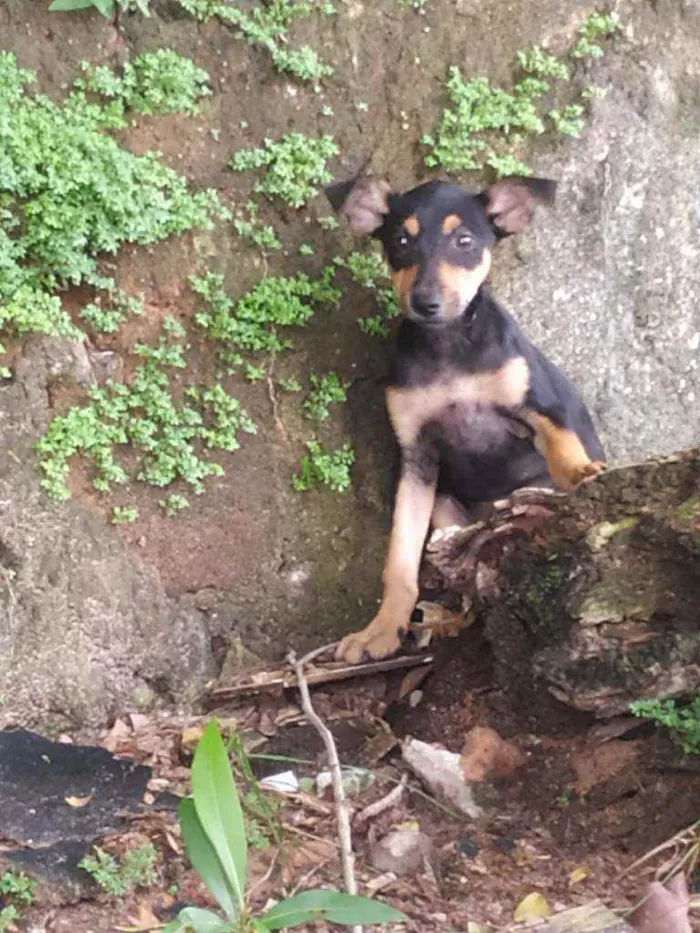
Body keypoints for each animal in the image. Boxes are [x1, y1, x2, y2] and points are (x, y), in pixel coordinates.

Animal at [326, 173, 604, 664]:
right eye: (400, 241)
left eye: (465, 241)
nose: (425, 302)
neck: (448, 346)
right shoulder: (416, 457)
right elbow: (399, 558)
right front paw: (382, 629)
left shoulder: (540, 405)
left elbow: (563, 443)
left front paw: (581, 471)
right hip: (448, 512)